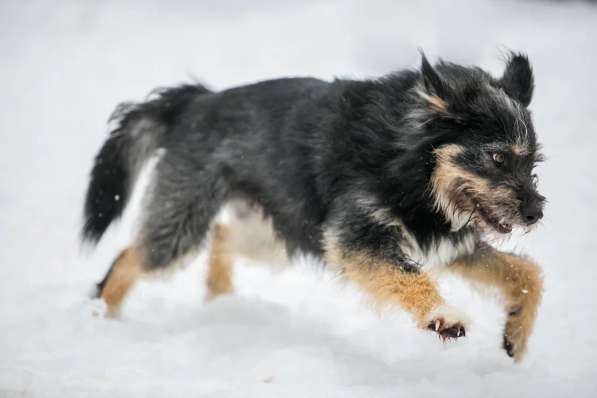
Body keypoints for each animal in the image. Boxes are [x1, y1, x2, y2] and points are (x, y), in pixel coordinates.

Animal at [82, 52, 544, 360]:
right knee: (133, 256)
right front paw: (441, 314)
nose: (536, 212)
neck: (408, 163)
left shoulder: (447, 244)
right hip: (183, 226)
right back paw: (101, 314)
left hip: (279, 232)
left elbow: (527, 273)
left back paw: (222, 299)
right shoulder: (358, 240)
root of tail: (196, 101)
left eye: (532, 161)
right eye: (497, 157)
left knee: (223, 235)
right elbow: (409, 278)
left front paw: (517, 334)